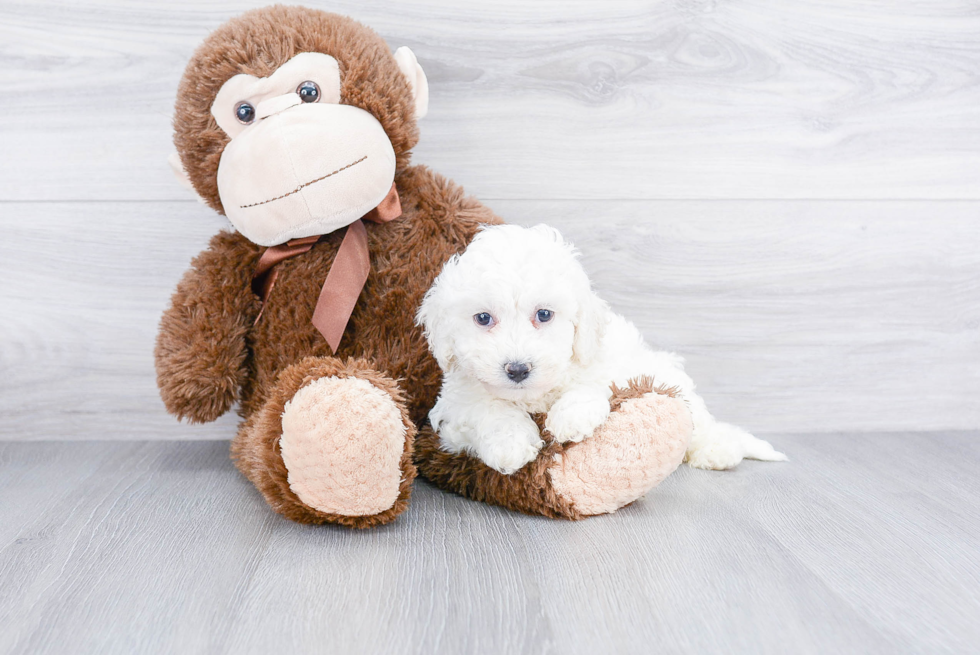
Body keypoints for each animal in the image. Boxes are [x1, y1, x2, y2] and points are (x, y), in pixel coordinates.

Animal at [416, 226, 788, 476]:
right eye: (483, 318)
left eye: (544, 315)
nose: (518, 369)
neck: (534, 396)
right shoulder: (454, 409)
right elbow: (487, 408)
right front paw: (510, 444)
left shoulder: (607, 364)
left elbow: (593, 387)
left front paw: (569, 418)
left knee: (701, 420)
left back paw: (717, 449)